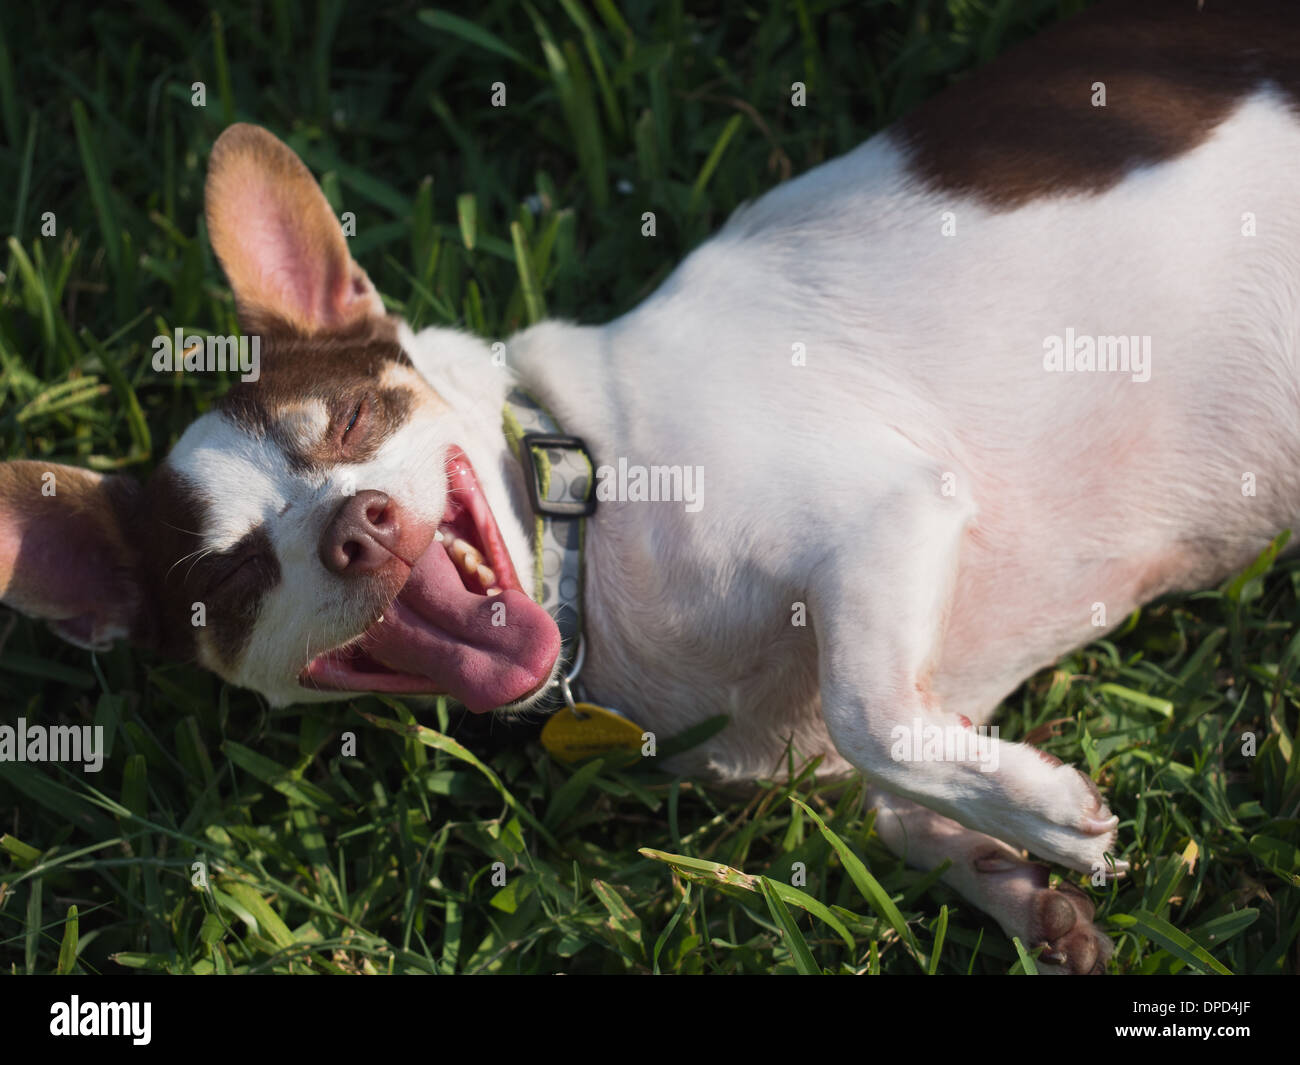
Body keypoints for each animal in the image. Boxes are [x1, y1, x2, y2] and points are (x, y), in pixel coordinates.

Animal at [2, 0, 1300, 972]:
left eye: (357, 423)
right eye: (231, 578)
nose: (357, 531)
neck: (596, 529)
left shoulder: (890, 514)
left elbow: (866, 711)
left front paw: (1041, 819)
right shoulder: (894, 699)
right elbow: (898, 781)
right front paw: (1017, 881)